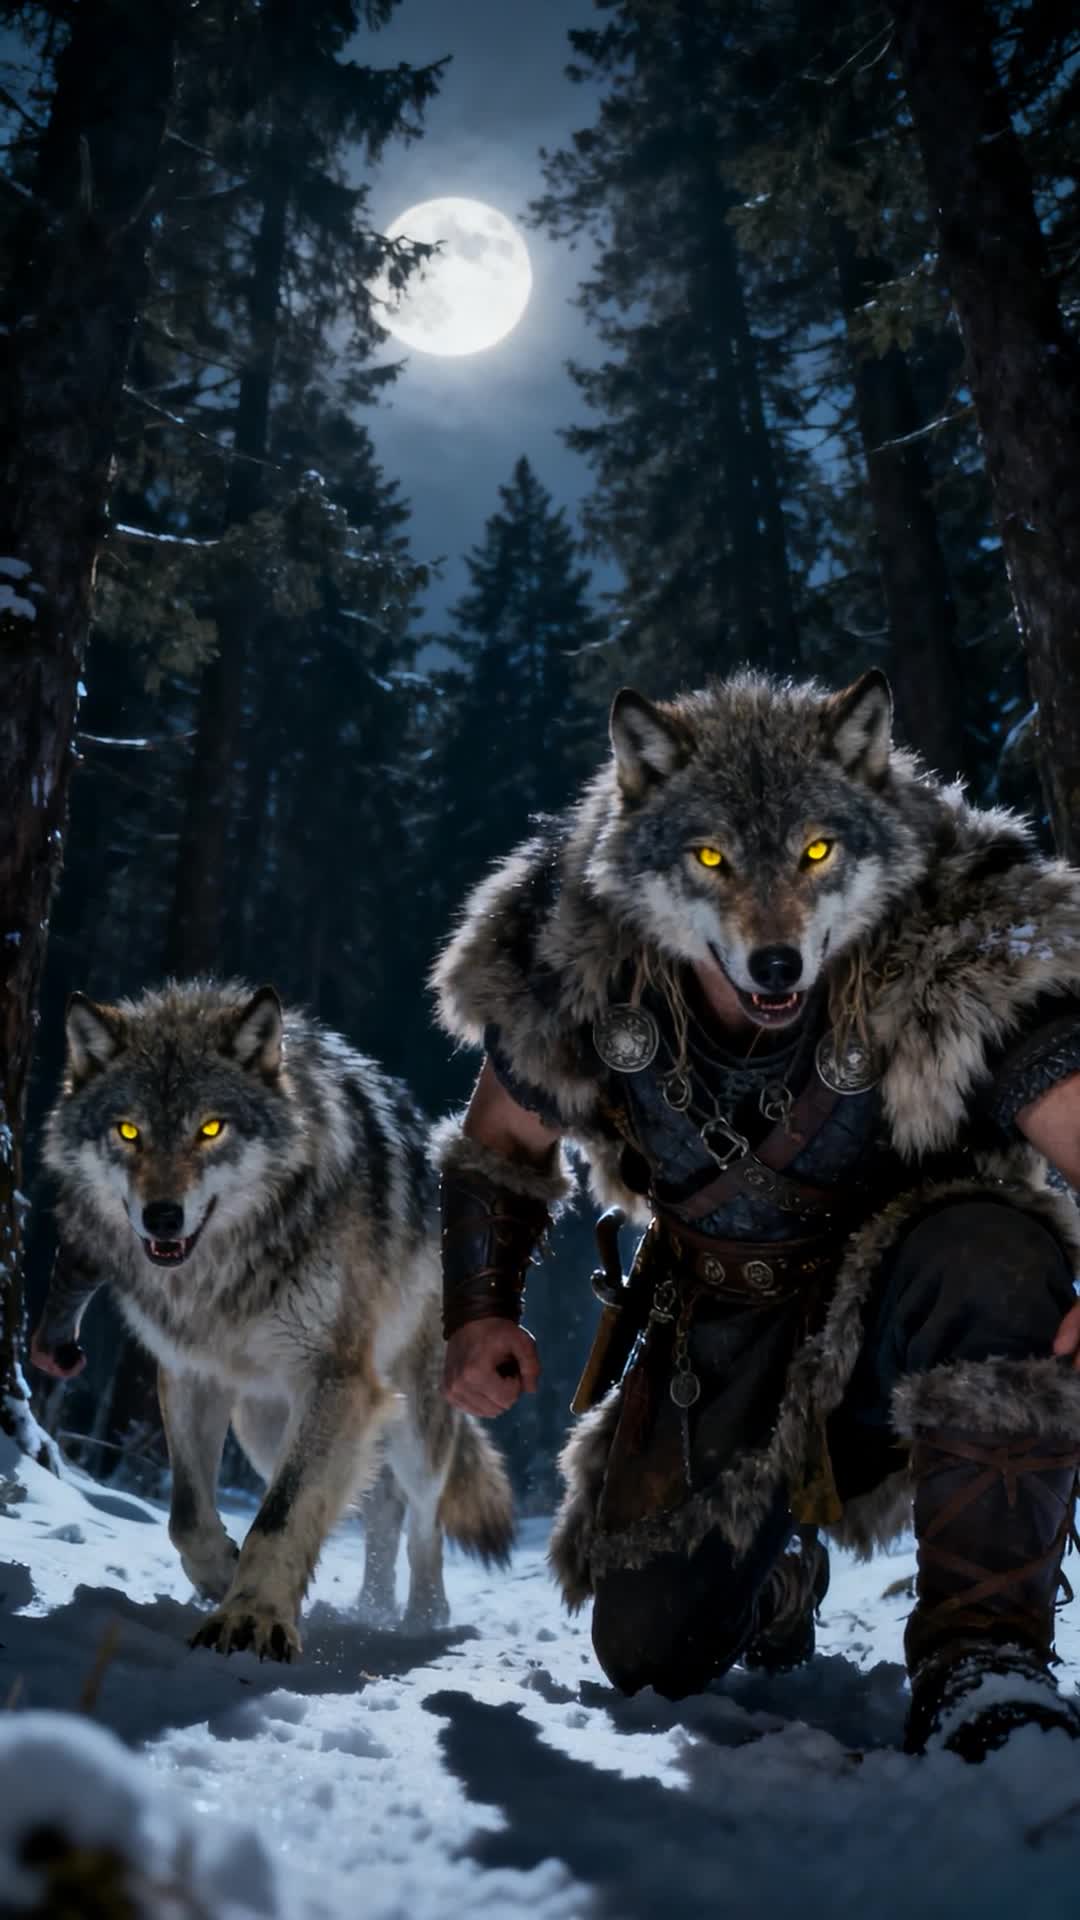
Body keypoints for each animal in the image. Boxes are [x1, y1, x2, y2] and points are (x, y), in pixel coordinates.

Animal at [33, 980, 513, 1660]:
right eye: (128, 1131)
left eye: (211, 1128)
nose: (162, 1217)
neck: (227, 1271)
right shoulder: (192, 1373)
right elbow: (187, 1515)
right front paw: (220, 1576)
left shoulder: (339, 1380)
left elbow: (281, 1516)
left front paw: (252, 1619)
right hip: (265, 1428)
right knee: (380, 1504)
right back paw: (373, 1606)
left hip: (413, 1418)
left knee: (423, 1515)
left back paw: (423, 1617)